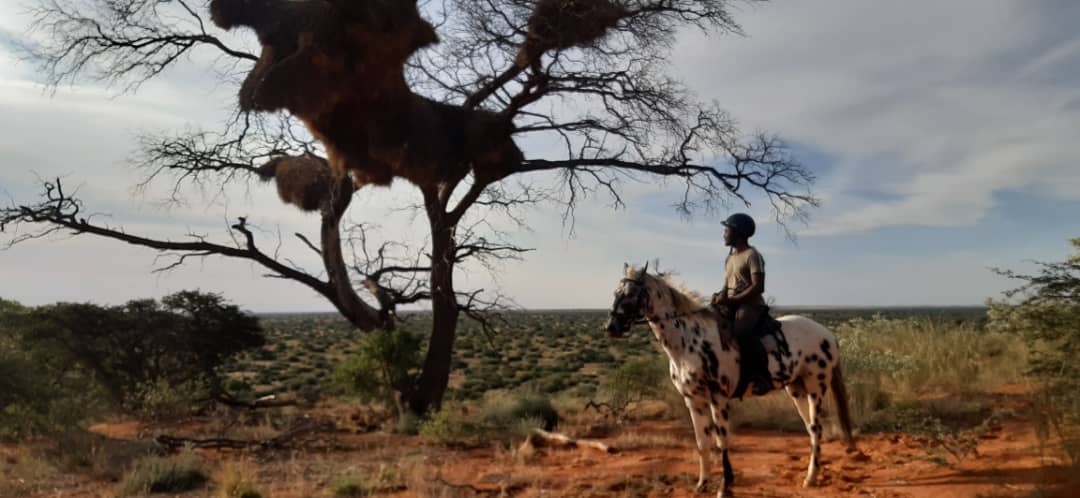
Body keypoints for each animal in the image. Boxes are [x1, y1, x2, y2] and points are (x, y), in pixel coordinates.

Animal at [604, 262, 855, 494]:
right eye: (615, 292)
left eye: (631, 294)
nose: (611, 327)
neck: (688, 340)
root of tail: (828, 334)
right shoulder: (693, 400)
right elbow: (702, 442)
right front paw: (702, 483)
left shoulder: (719, 398)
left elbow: (722, 440)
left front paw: (725, 486)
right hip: (796, 388)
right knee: (811, 428)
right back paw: (812, 475)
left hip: (816, 387)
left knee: (817, 428)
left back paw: (811, 477)